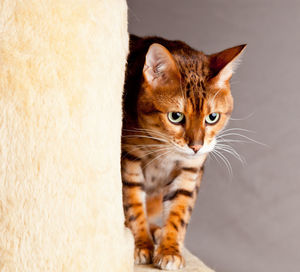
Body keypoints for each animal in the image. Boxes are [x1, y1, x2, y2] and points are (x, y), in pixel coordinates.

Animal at [122, 34, 246, 270]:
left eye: (212, 117)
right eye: (176, 116)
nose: (196, 146)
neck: (162, 152)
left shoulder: (190, 170)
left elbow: (179, 212)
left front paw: (170, 249)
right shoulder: (129, 160)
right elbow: (133, 205)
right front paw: (141, 244)